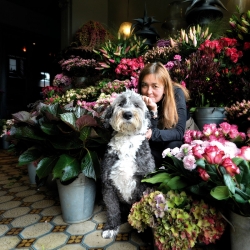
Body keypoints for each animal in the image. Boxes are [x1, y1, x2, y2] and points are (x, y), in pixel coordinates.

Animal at [100, 89, 155, 238]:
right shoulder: (108, 185)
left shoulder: (144, 182)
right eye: (120, 103)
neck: (127, 139)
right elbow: (112, 209)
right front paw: (111, 227)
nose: (127, 114)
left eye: (137, 105)